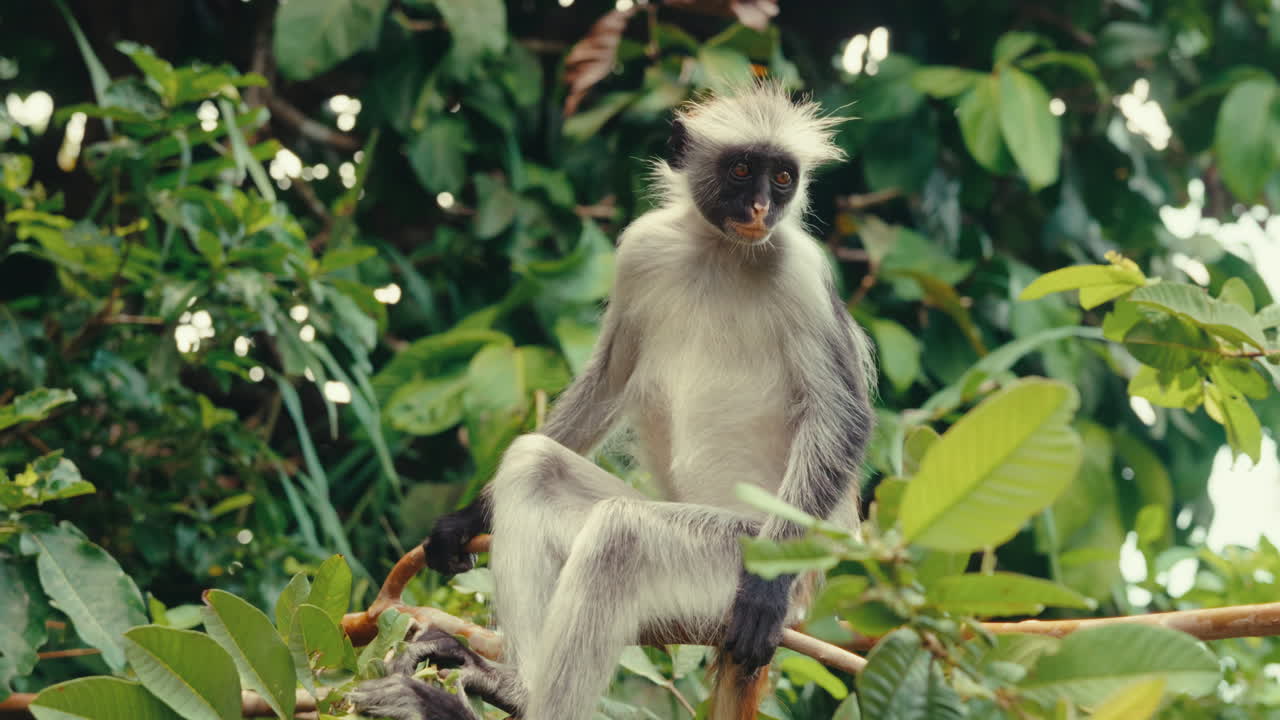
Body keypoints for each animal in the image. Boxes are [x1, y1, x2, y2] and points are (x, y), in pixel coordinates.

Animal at [350, 82, 875, 720]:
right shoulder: (642, 250)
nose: (759, 210)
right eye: (741, 170)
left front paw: (766, 590)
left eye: (782, 178)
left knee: (620, 538)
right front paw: (465, 521)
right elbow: (609, 379)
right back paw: (514, 686)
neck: (719, 250)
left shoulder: (800, 271)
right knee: (534, 465)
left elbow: (842, 418)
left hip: (744, 553)